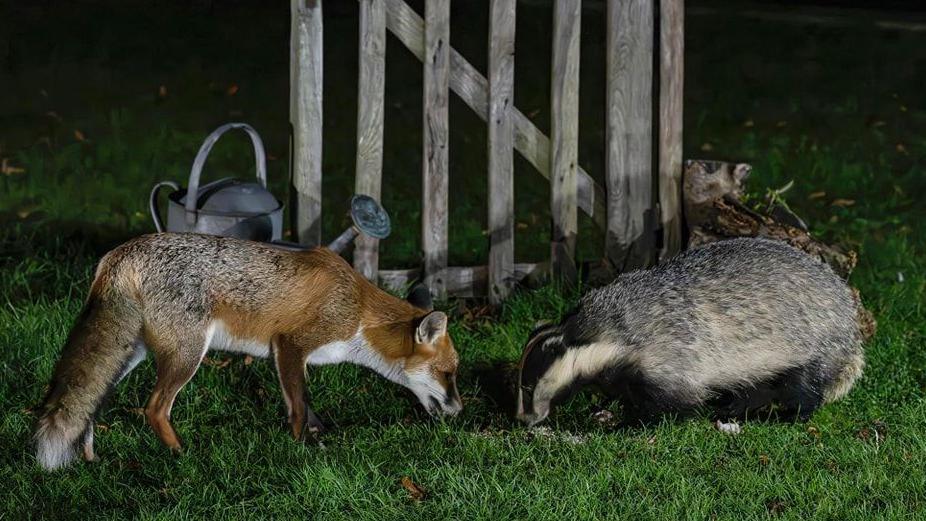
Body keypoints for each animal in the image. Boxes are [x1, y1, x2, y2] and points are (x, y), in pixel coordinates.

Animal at [36, 234, 464, 470]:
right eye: (449, 374)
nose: (460, 411)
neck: (357, 310)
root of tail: (119, 253)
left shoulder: (287, 355)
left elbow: (306, 404)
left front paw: (318, 437)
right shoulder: (291, 344)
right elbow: (298, 407)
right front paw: (300, 452)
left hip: (134, 353)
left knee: (92, 403)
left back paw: (90, 458)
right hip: (188, 354)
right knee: (154, 408)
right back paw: (181, 455)